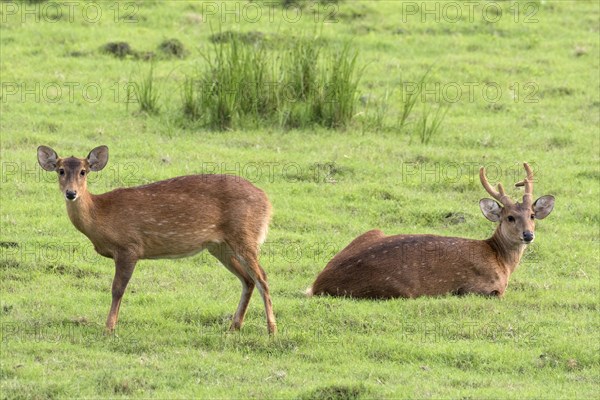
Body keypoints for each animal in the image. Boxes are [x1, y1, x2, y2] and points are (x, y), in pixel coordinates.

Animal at [38, 146, 278, 334]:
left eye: (83, 171)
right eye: (60, 170)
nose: (71, 193)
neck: (101, 215)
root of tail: (267, 202)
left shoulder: (130, 246)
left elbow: (117, 289)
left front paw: (109, 328)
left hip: (245, 235)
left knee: (262, 277)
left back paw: (271, 329)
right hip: (219, 246)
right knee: (247, 280)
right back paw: (234, 326)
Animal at [310, 162, 552, 296]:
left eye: (532, 215)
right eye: (510, 217)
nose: (528, 235)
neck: (501, 261)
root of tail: (317, 286)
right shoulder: (481, 288)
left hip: (372, 231)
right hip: (398, 289)